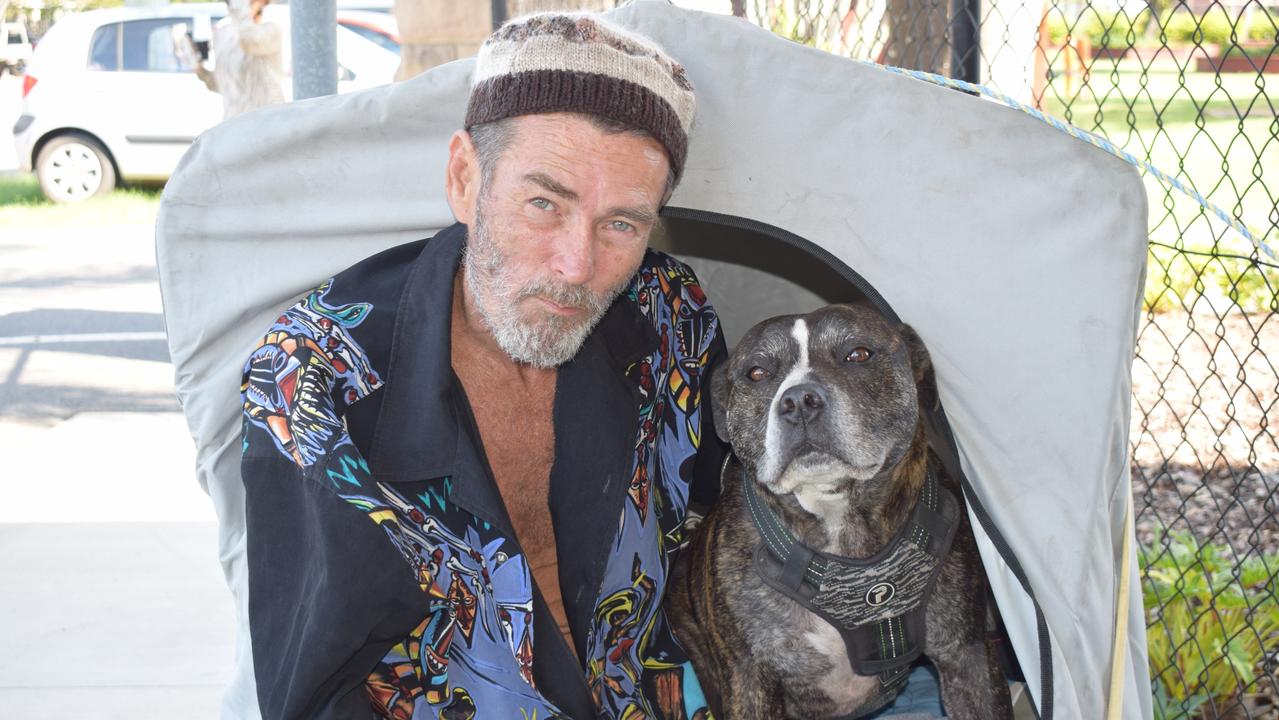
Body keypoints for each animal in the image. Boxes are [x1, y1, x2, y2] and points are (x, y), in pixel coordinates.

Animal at [670, 305, 1007, 720]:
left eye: (858, 354)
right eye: (757, 372)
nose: (798, 401)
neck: (838, 524)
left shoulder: (967, 653)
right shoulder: (750, 679)